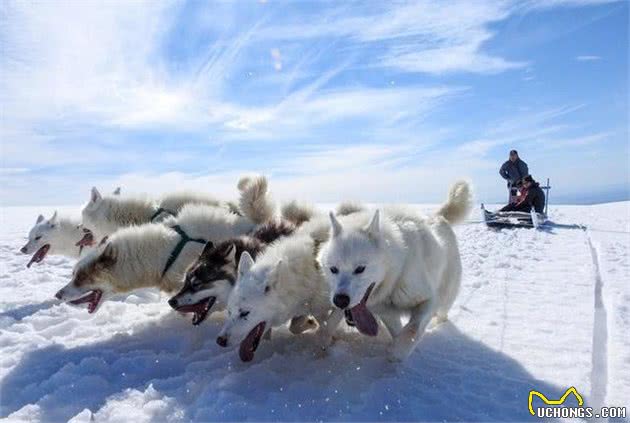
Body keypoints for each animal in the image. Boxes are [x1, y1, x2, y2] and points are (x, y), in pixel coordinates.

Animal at [217, 234, 346, 362]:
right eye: (229, 312)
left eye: (244, 313)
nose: (220, 341)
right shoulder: (312, 307)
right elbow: (296, 326)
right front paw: (312, 324)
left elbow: (327, 328)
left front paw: (324, 346)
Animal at [318, 181, 472, 362]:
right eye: (333, 269)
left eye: (360, 269)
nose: (340, 300)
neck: (395, 276)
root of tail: (439, 216)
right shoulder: (387, 312)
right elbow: (398, 333)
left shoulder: (428, 300)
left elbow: (407, 336)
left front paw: (399, 352)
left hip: (446, 295)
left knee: (443, 313)